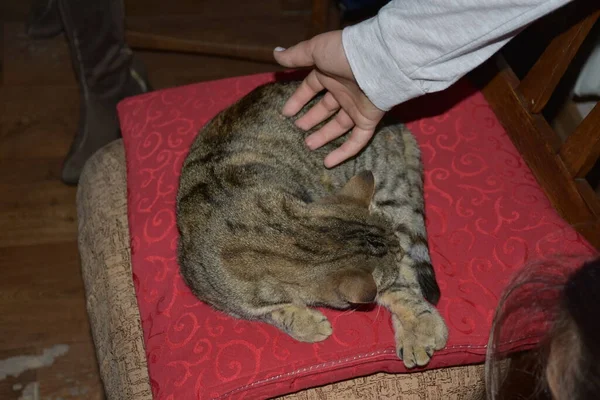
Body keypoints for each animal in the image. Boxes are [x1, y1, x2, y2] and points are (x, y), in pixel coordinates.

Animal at [176, 82, 448, 368]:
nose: (398, 253)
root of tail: (391, 118)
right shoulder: (218, 295)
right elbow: (271, 312)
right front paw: (305, 323)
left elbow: (400, 287)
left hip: (389, 191)